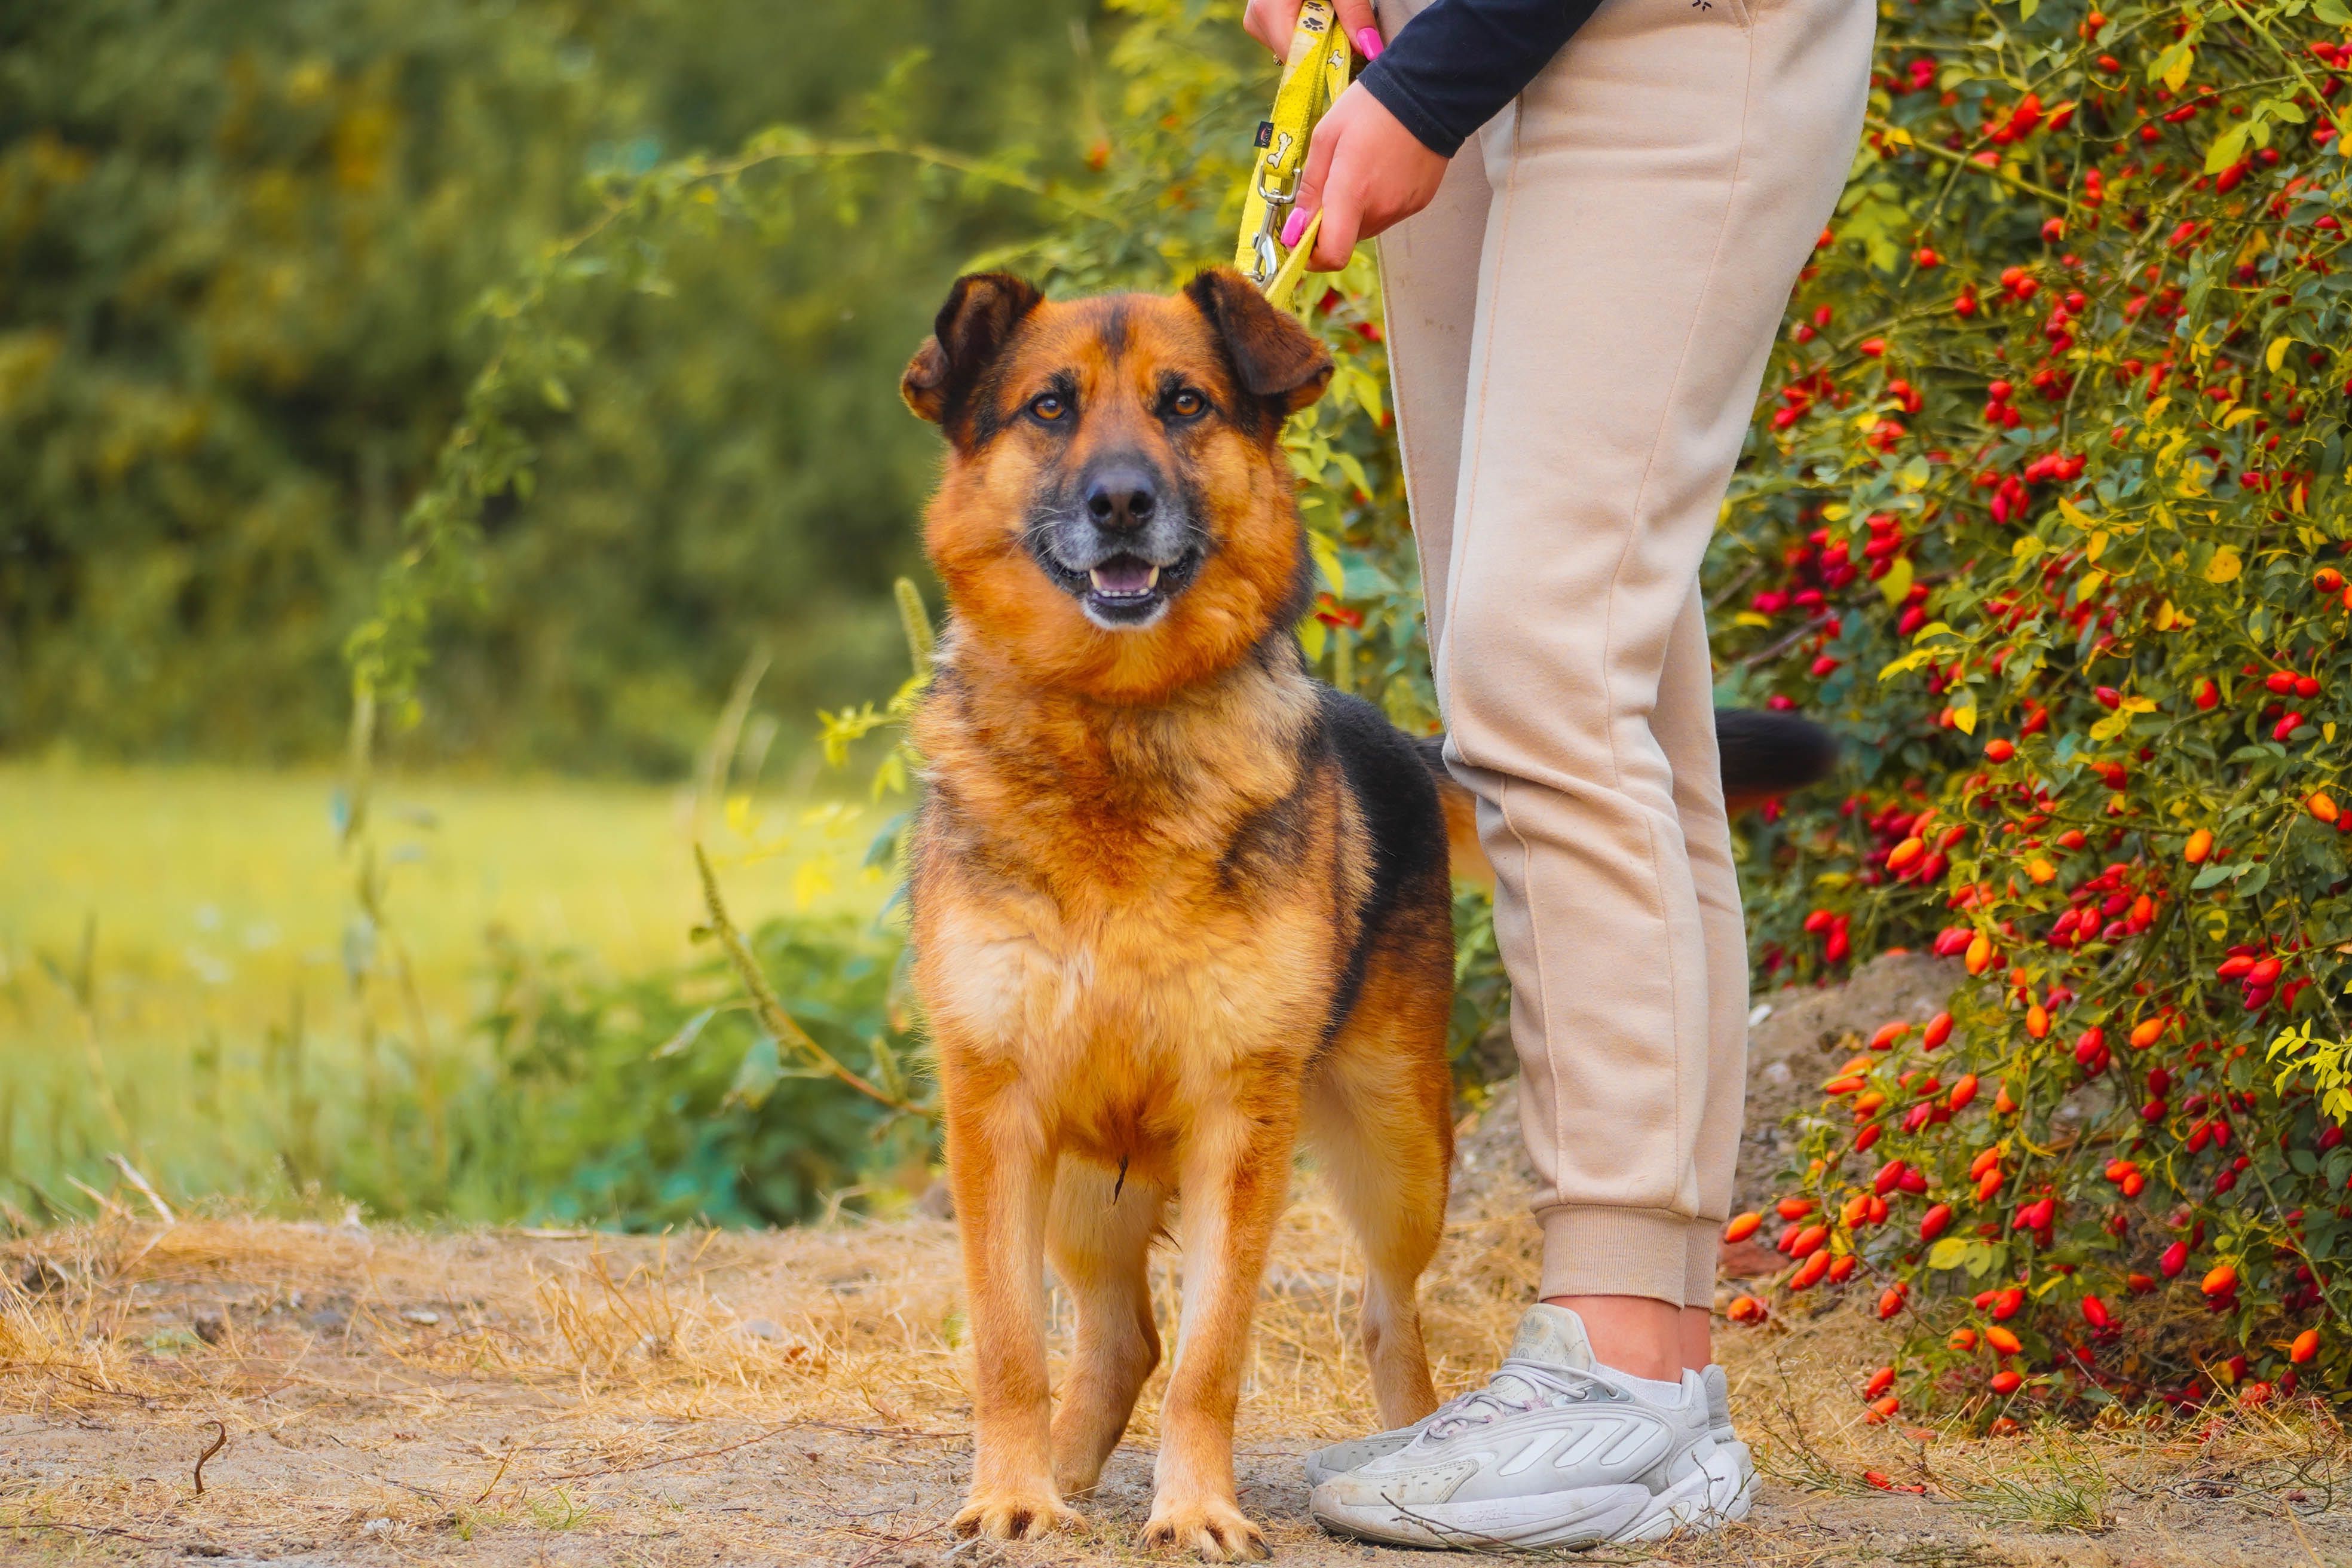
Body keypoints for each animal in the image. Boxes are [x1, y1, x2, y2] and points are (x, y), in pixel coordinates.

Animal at [898, 267, 1835, 1561]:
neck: (1118, 732)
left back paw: (1413, 1464)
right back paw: (1070, 1473)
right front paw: (1012, 1493)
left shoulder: (1242, 1123)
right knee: (1118, 1333)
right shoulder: (999, 1114)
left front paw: (1198, 1505)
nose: (1123, 500)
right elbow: (1007, 1343)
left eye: (1185, 403)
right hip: (1090, 1181)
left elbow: (1212, 1355)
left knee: (1384, 1321)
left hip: (1397, 1155)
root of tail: (1395, 732)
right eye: (1048, 407)